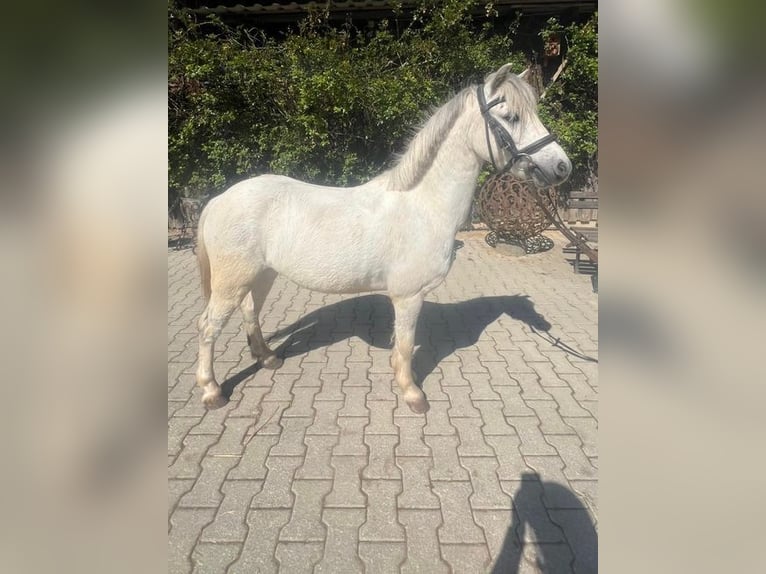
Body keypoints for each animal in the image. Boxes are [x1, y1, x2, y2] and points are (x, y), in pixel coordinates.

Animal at [195, 63, 572, 413]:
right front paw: (412, 394)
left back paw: (269, 359)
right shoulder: (408, 296)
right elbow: (405, 346)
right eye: (510, 117)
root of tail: (218, 200)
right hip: (233, 282)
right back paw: (212, 391)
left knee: (250, 313)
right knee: (209, 326)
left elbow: (399, 345)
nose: (562, 167)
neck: (424, 205)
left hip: (261, 275)